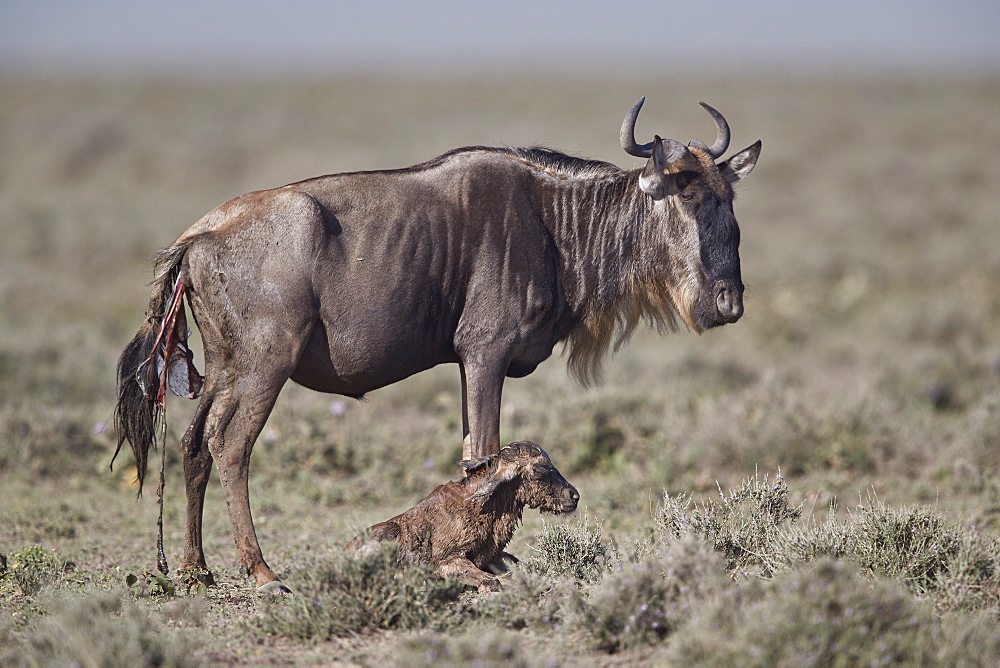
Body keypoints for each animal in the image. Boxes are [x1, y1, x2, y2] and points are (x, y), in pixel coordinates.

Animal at [348, 444, 580, 588]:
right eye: (539, 469)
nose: (574, 496)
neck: (480, 507)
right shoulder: (447, 560)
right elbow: (491, 582)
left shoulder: (494, 557)